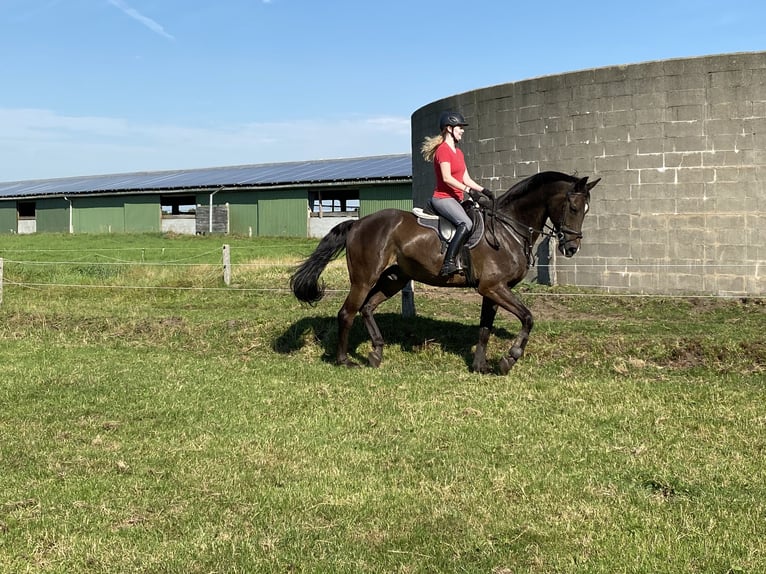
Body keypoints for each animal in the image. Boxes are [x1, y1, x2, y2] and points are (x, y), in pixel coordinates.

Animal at [288, 170, 600, 378]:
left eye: (586, 209)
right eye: (573, 207)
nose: (571, 247)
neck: (508, 228)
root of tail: (357, 222)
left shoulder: (491, 290)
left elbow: (485, 328)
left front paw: (480, 366)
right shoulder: (494, 287)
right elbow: (528, 317)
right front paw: (508, 360)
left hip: (395, 278)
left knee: (367, 308)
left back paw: (376, 351)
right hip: (364, 279)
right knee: (347, 313)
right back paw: (344, 360)